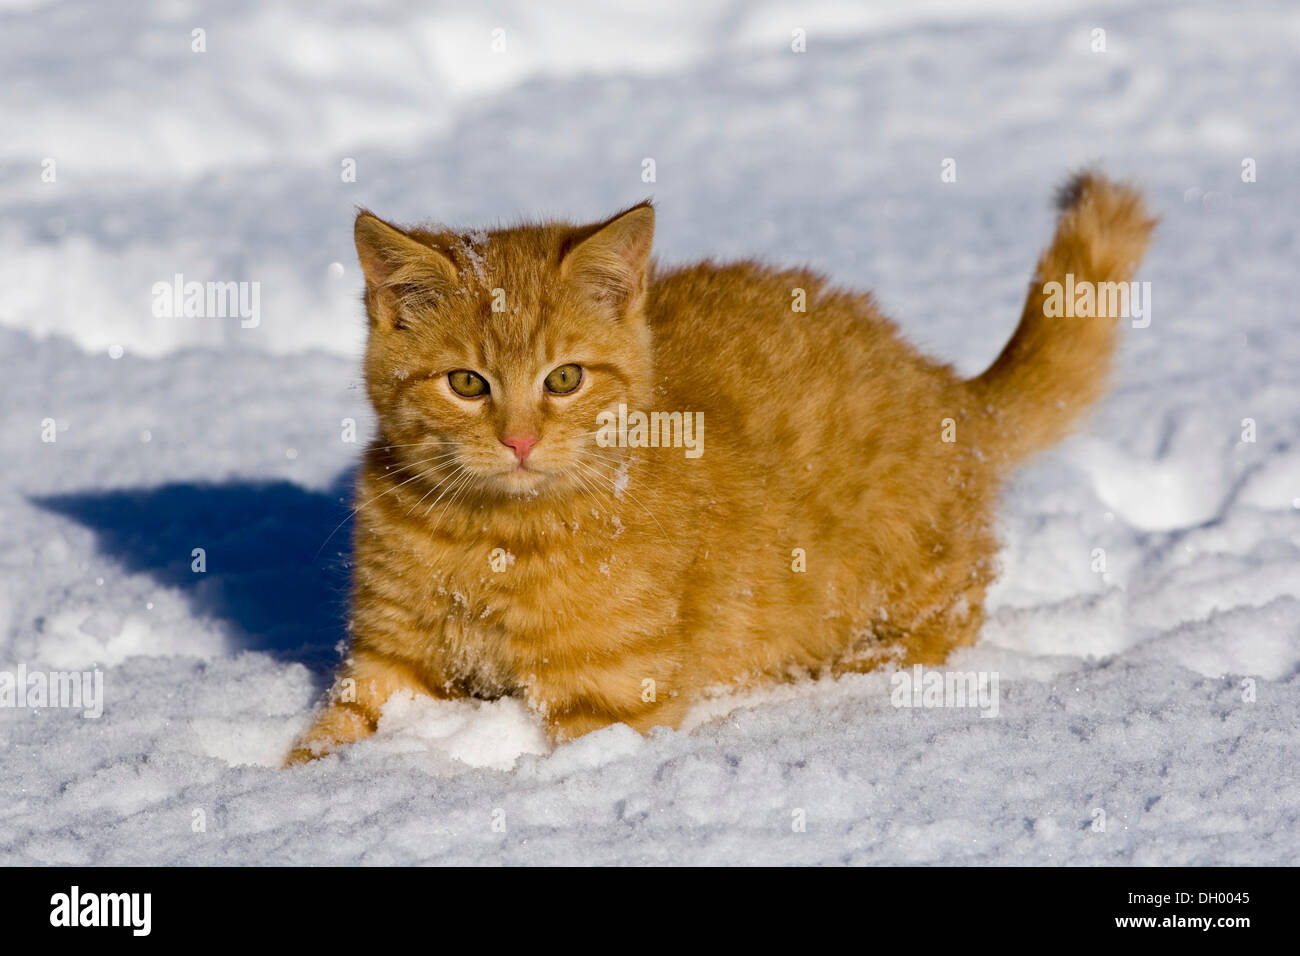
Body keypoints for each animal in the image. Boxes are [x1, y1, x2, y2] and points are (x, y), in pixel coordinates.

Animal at [284, 171, 1149, 764]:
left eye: (565, 379)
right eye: (467, 384)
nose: (520, 440)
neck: (490, 538)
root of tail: (950, 390)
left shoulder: (606, 702)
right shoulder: (388, 665)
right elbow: (329, 740)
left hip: (909, 592)